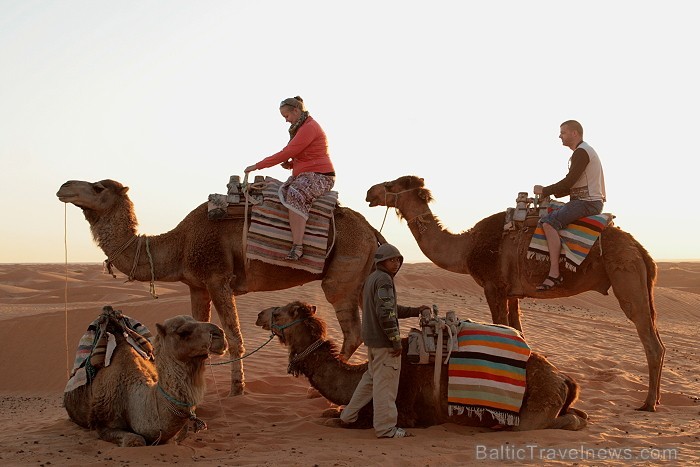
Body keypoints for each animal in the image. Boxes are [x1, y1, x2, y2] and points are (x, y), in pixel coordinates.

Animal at [57, 179, 386, 394]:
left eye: (98, 187)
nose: (64, 187)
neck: (179, 244)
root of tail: (371, 230)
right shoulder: (197, 286)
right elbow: (200, 332)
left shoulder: (217, 278)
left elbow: (235, 339)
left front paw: (236, 391)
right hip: (361, 276)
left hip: (341, 275)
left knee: (352, 330)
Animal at [256, 302, 584, 434]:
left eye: (281, 311)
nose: (260, 314)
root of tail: (562, 378)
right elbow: (331, 413)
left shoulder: (402, 413)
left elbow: (334, 421)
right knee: (578, 415)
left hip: (536, 407)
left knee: (557, 423)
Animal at [366, 176, 668, 414]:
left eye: (391, 184)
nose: (370, 192)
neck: (466, 248)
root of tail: (641, 250)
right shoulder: (513, 293)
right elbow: (518, 331)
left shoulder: (493, 286)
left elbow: (502, 327)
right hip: (639, 280)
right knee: (657, 338)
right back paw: (654, 400)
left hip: (626, 275)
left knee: (650, 340)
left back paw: (648, 403)